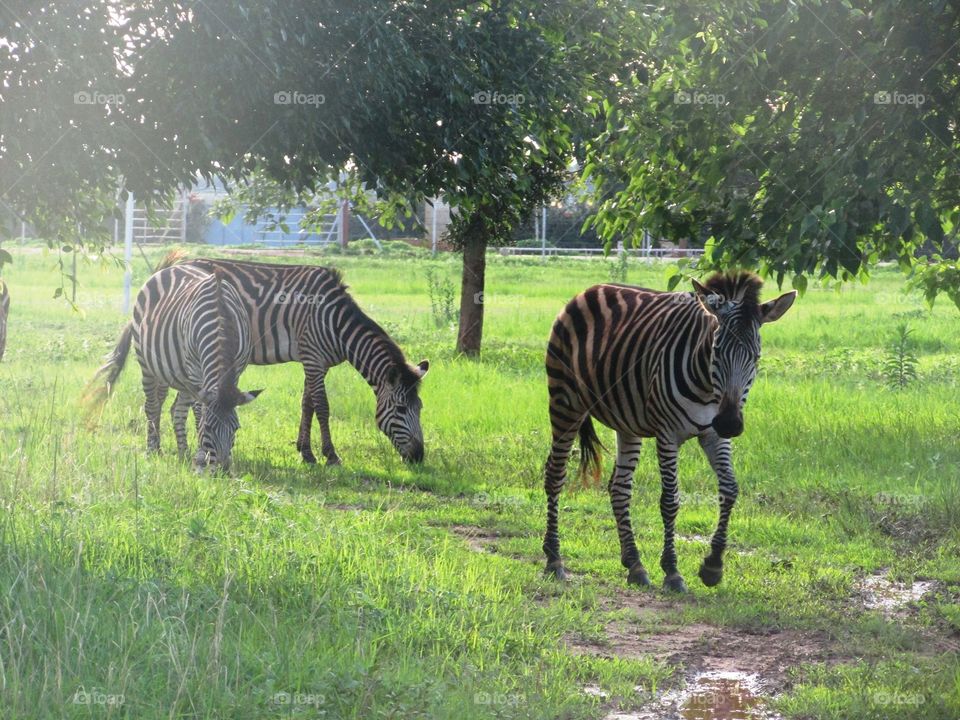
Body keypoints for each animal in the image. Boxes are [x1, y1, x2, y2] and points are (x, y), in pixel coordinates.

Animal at [88, 262, 261, 471]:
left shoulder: (236, 370)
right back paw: (153, 449)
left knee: (176, 410)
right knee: (152, 406)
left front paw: (196, 456)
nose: (223, 470)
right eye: (208, 428)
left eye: (236, 428)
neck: (222, 319)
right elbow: (198, 411)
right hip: (149, 365)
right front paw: (201, 455)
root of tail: (169, 267)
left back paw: (182, 451)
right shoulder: (195, 371)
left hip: (177, 373)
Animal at [183, 257, 429, 464]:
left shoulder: (318, 363)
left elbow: (307, 404)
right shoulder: (312, 358)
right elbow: (322, 406)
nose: (418, 457)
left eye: (420, 408)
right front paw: (330, 455)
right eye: (400, 409)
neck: (336, 324)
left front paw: (305, 451)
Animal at [542, 271, 795, 591]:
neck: (708, 387)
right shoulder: (667, 434)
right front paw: (672, 571)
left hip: (627, 420)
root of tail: (589, 289)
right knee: (555, 475)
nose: (730, 423)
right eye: (716, 352)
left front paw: (713, 566)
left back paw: (635, 565)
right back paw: (554, 559)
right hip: (565, 402)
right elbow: (670, 500)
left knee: (619, 487)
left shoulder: (714, 434)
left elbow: (730, 490)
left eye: (756, 356)